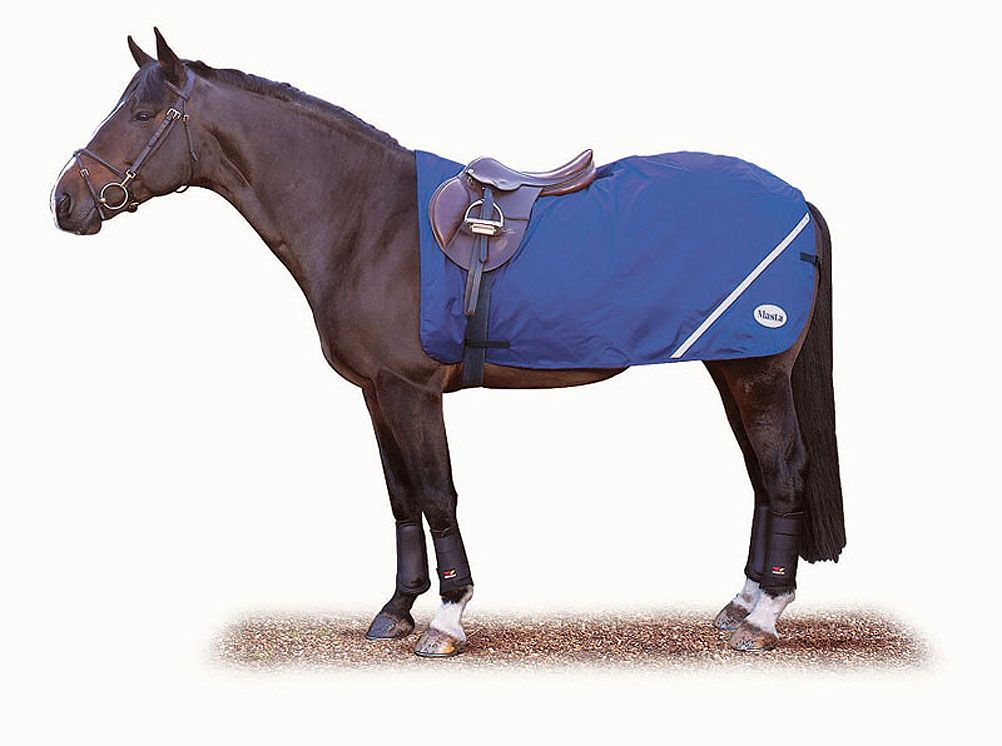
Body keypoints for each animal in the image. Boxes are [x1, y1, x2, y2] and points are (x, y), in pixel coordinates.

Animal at [51, 29, 845, 658]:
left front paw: (448, 617)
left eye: (142, 114)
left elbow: (437, 493)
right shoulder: (377, 394)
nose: (64, 200)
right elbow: (402, 496)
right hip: (730, 368)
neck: (368, 220)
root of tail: (800, 201)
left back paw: (765, 617)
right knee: (760, 475)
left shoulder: (411, 392)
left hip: (758, 373)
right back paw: (742, 603)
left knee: (784, 470)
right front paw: (397, 609)